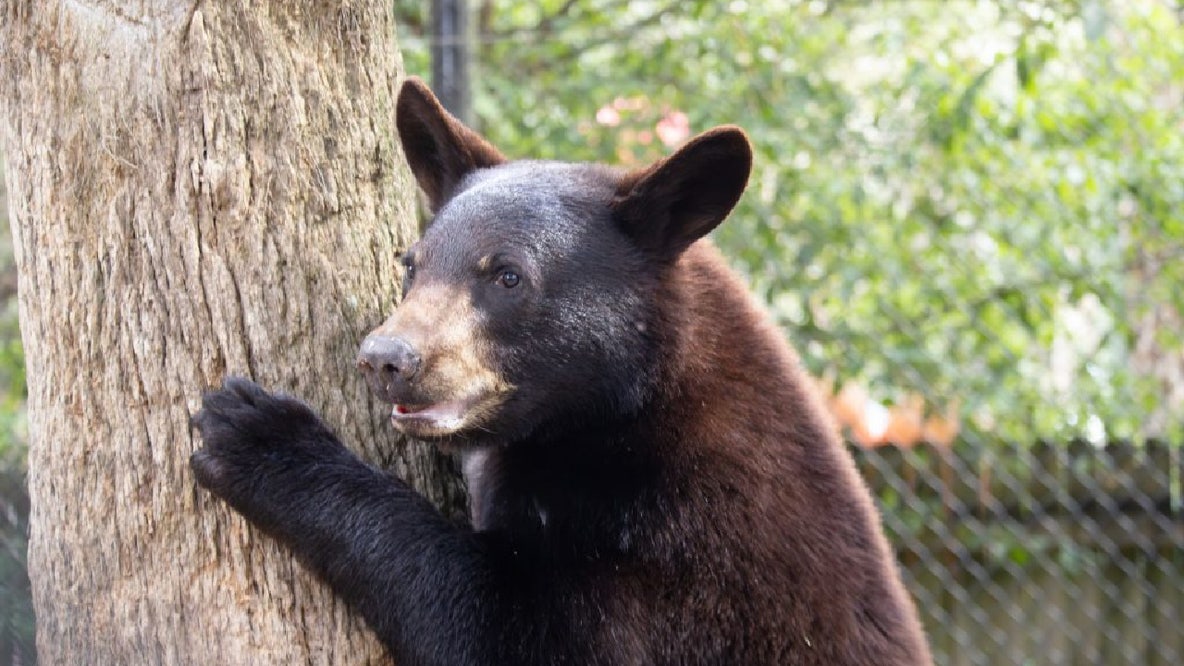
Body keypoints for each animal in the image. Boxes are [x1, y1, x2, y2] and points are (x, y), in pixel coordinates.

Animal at [191, 77, 933, 666]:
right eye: (411, 264)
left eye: (508, 276)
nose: (385, 358)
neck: (623, 414)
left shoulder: (688, 553)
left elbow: (507, 630)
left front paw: (260, 436)